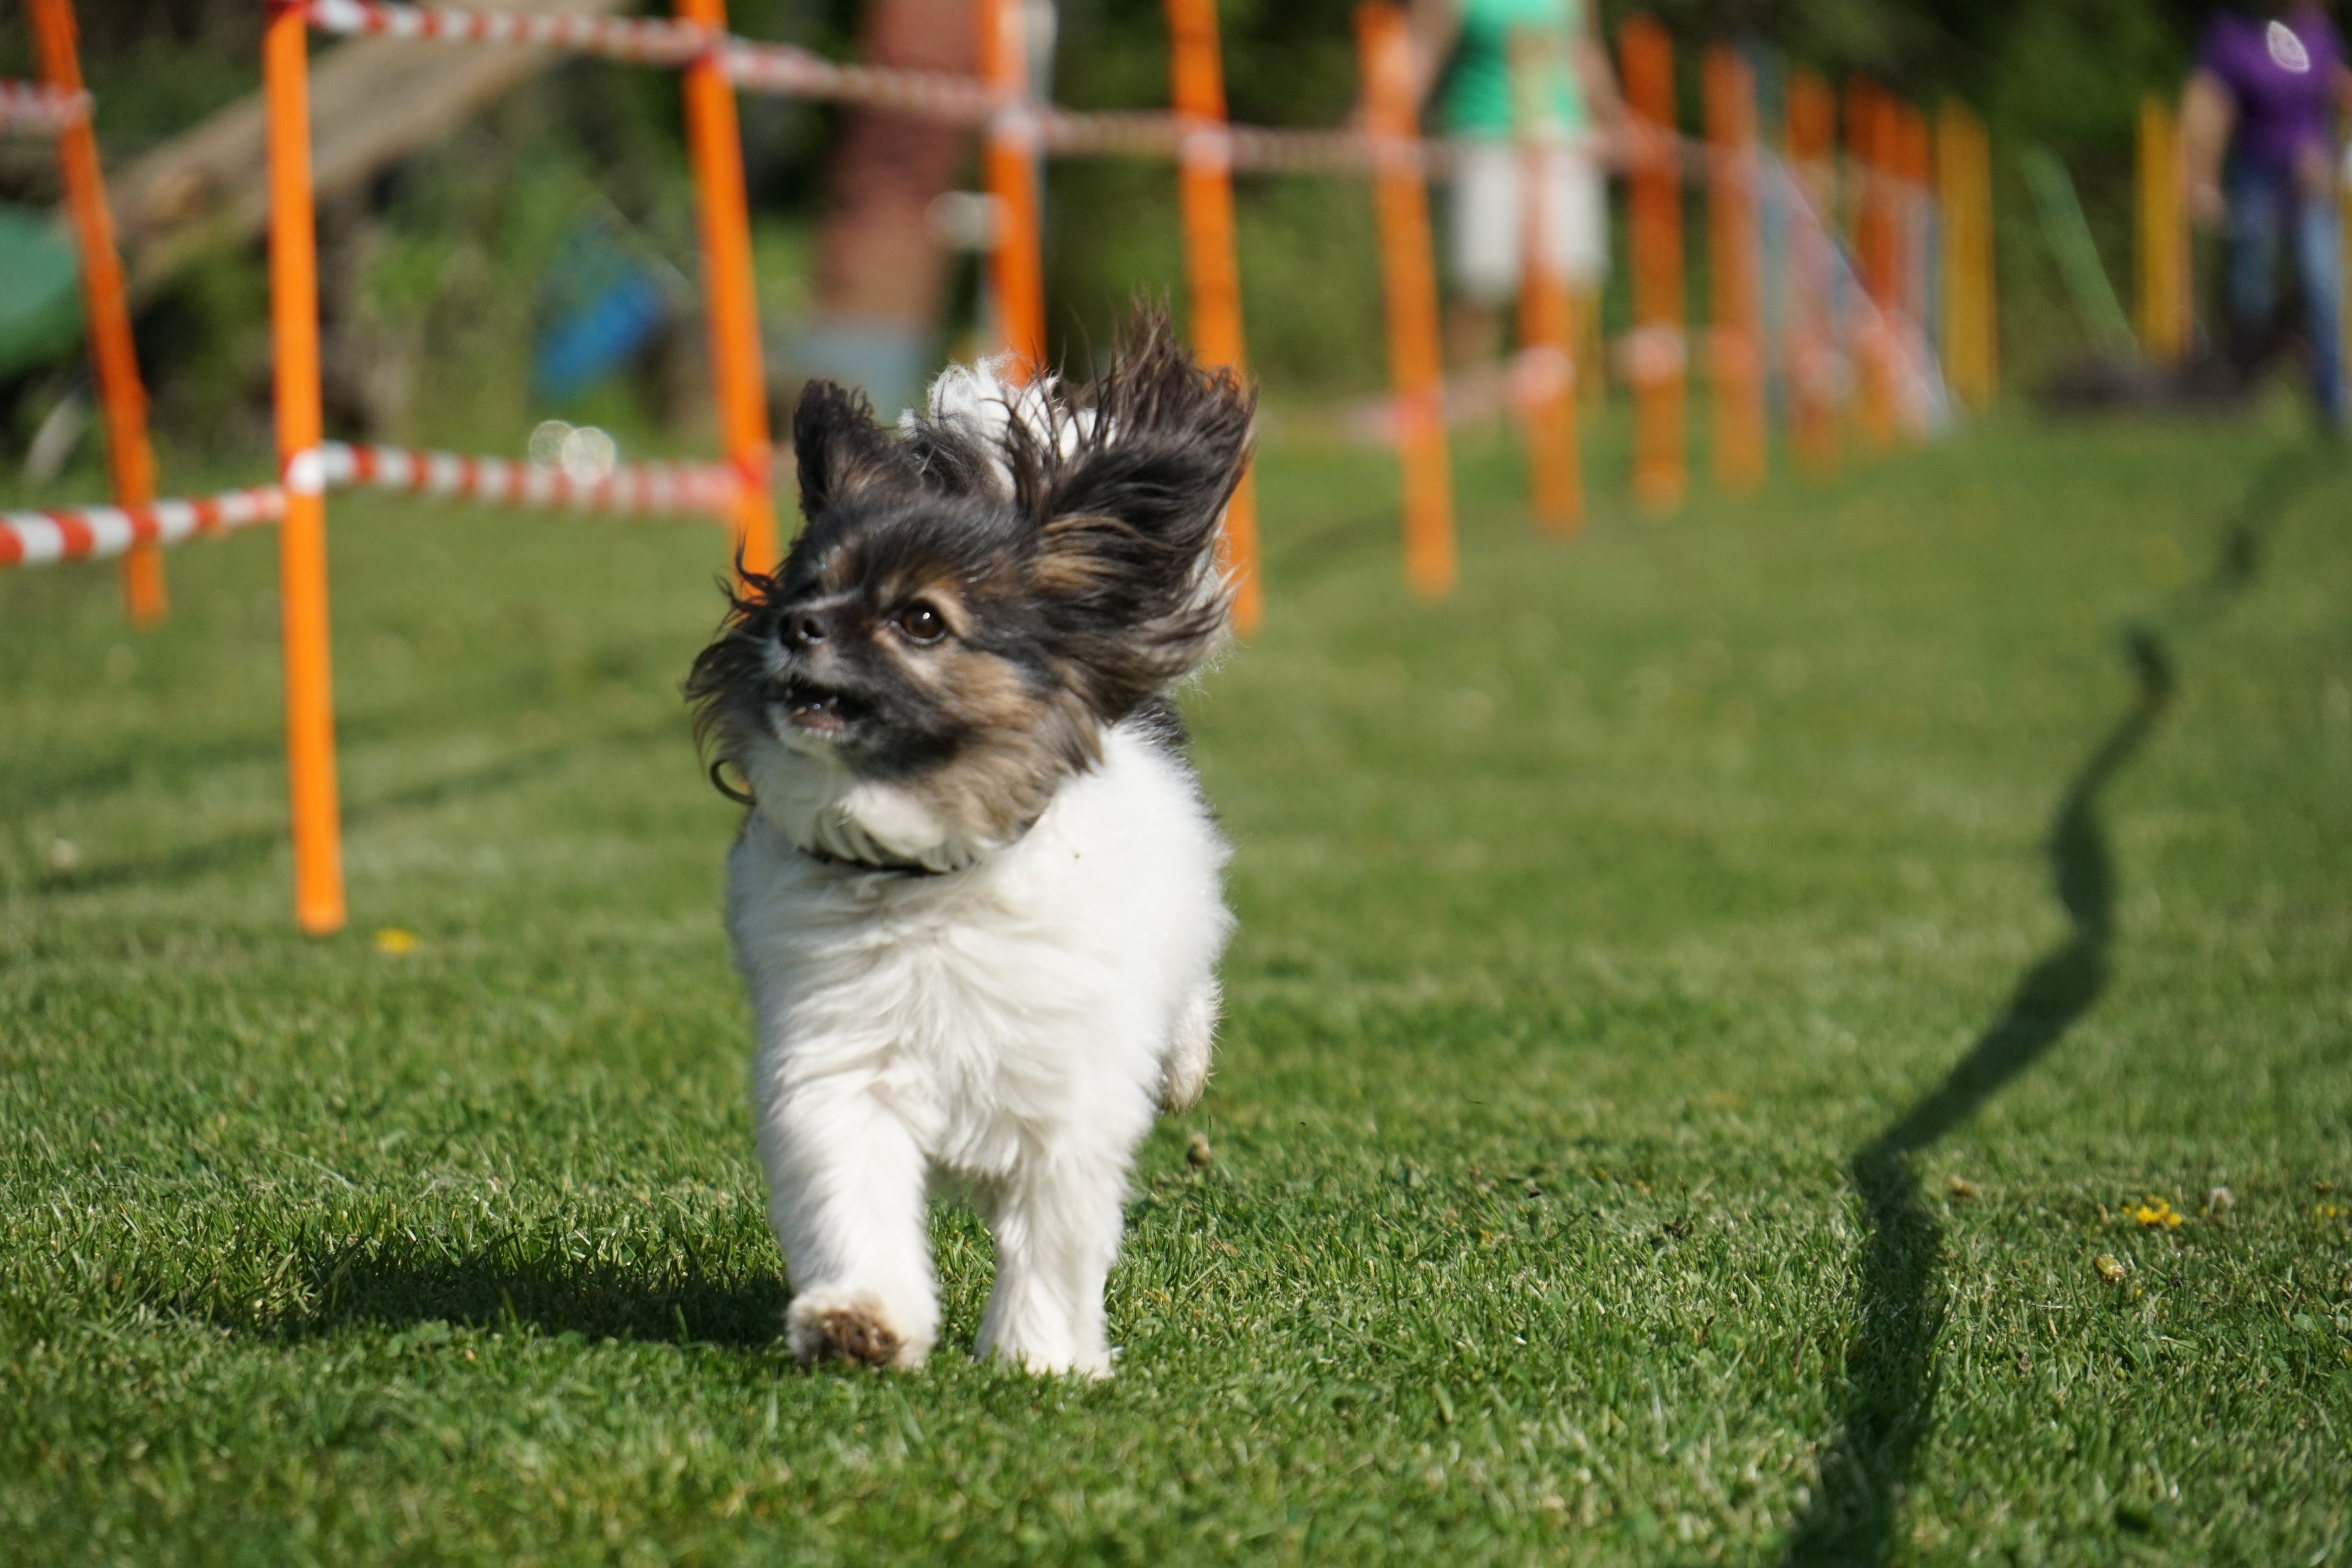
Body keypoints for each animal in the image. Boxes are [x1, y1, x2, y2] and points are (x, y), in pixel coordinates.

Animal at [686, 314, 1250, 1377]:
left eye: (919, 620)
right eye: (808, 589)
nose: (797, 626)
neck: (927, 876)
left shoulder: (1069, 1099)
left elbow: (1055, 1237)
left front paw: (1041, 1360)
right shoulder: (842, 1072)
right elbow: (851, 1202)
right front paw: (860, 1321)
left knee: (1193, 1001)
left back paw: (1187, 1068)